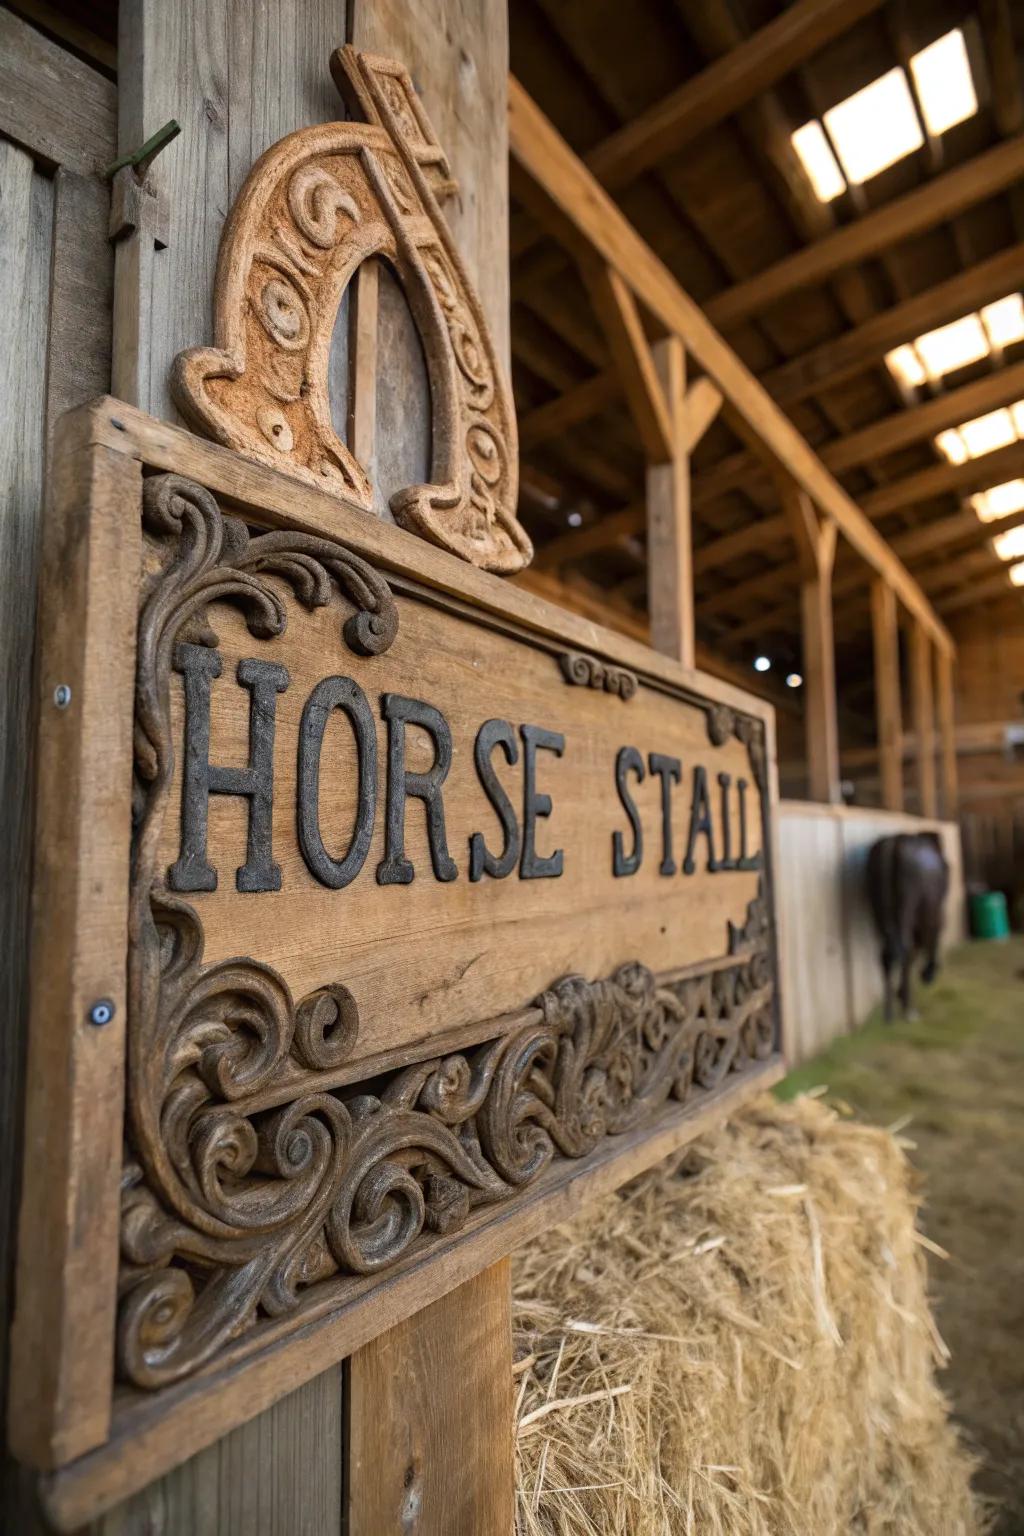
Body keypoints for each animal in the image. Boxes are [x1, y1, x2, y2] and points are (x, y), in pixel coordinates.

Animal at [865, 829, 951, 1019]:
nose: (927, 976)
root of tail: (892, 843)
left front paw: (901, 993)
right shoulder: (933, 912)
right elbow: (930, 938)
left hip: (879, 906)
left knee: (888, 953)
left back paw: (889, 1013)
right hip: (907, 903)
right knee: (905, 948)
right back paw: (908, 1009)